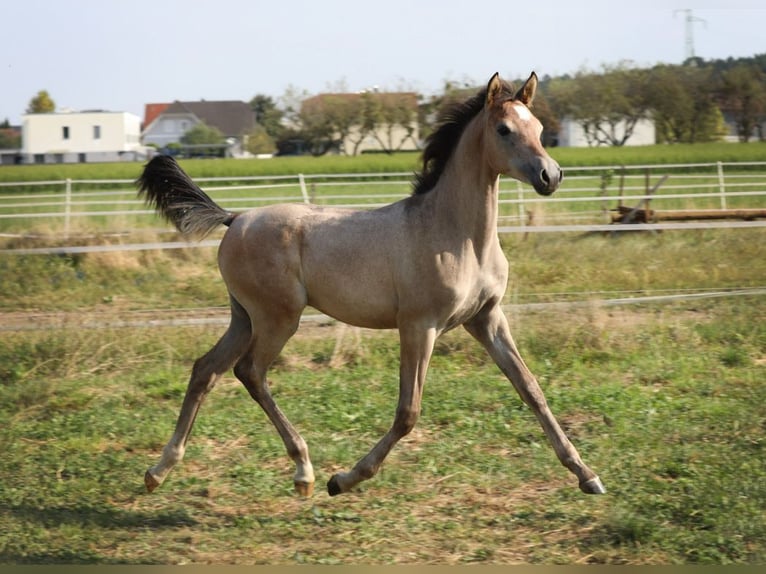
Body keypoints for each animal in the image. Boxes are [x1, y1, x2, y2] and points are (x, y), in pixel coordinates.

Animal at [136, 72, 608, 498]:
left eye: (540, 129)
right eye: (504, 129)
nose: (551, 176)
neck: (456, 236)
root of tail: (235, 219)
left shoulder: (487, 319)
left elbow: (531, 389)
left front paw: (587, 475)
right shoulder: (419, 326)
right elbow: (408, 412)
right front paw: (343, 479)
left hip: (244, 317)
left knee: (206, 370)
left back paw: (159, 471)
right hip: (277, 318)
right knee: (250, 372)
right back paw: (304, 472)